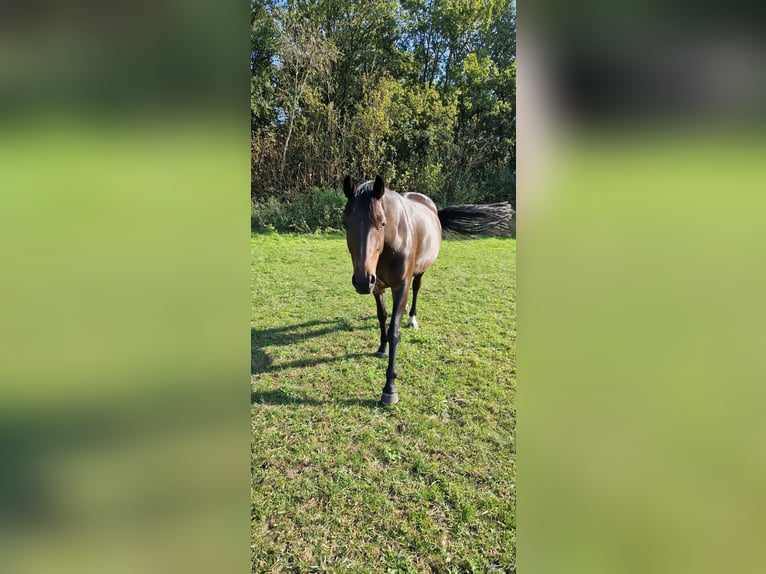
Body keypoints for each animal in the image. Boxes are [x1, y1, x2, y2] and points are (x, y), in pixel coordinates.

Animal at [344, 174, 516, 404]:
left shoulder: (401, 285)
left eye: (382, 223)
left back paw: (412, 318)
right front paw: (381, 348)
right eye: (346, 224)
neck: (392, 242)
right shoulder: (377, 286)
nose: (362, 280)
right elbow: (382, 316)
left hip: (419, 272)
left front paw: (390, 388)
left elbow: (394, 332)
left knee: (416, 289)